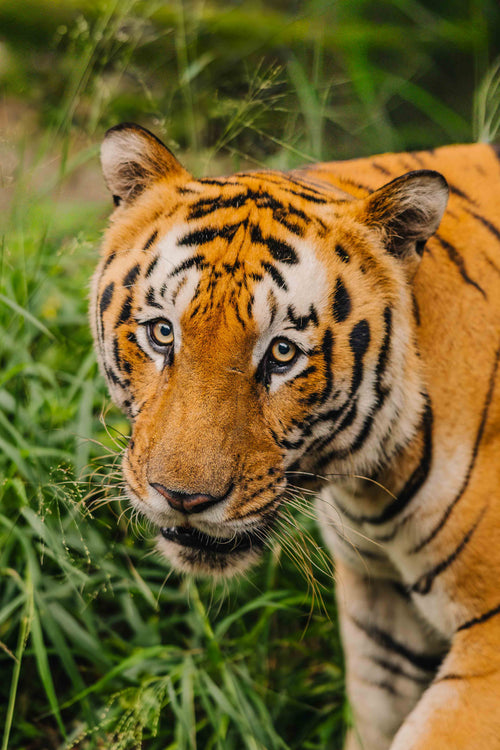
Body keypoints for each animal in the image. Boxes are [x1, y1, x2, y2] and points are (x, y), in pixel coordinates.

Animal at [91, 121, 500, 750]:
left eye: (282, 353)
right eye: (162, 333)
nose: (183, 499)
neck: (372, 484)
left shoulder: (488, 651)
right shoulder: (382, 615)